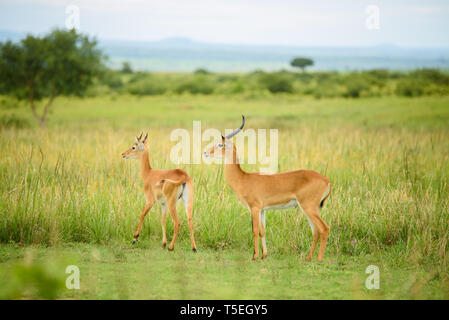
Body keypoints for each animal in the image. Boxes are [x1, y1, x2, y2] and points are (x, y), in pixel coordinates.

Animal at [203, 116, 328, 262]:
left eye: (220, 144)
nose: (205, 153)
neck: (243, 179)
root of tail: (326, 180)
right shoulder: (262, 210)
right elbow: (263, 231)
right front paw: (264, 255)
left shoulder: (254, 208)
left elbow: (255, 230)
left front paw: (255, 256)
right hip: (309, 209)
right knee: (315, 231)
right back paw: (308, 258)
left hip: (309, 207)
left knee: (324, 228)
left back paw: (319, 259)